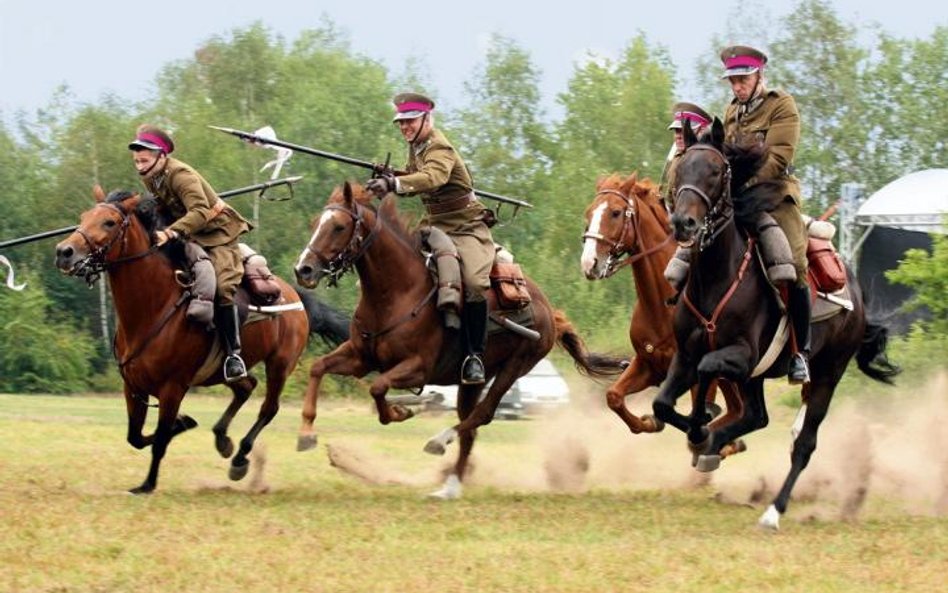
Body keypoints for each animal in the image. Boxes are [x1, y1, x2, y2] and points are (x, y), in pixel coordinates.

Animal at [52, 185, 348, 490]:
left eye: (109, 222)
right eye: (84, 217)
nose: (64, 252)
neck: (153, 307)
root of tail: (294, 295)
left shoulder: (173, 388)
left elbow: (159, 439)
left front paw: (147, 485)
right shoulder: (133, 387)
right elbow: (135, 437)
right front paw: (184, 425)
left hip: (280, 364)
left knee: (269, 408)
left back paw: (240, 457)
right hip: (223, 369)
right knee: (246, 387)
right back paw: (222, 438)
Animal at [292, 183, 624, 498]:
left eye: (338, 226)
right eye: (314, 223)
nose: (303, 269)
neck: (396, 293)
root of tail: (547, 310)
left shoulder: (417, 368)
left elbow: (378, 388)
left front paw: (400, 412)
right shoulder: (361, 358)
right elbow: (319, 368)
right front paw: (307, 433)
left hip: (514, 368)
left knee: (482, 415)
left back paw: (441, 442)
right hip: (473, 380)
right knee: (471, 431)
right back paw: (449, 486)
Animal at [576, 171, 748, 444]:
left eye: (615, 212)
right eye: (589, 212)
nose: (589, 263)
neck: (662, 305)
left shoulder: (698, 378)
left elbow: (698, 416)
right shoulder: (648, 366)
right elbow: (614, 397)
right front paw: (649, 422)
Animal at [656, 119, 900, 528]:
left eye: (716, 171)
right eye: (681, 168)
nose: (683, 223)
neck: (715, 277)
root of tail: (856, 293)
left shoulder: (739, 355)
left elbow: (706, 370)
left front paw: (701, 427)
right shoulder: (687, 356)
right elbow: (661, 404)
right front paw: (703, 435)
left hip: (825, 375)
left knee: (804, 443)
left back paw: (773, 510)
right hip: (756, 377)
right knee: (758, 416)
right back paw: (716, 446)